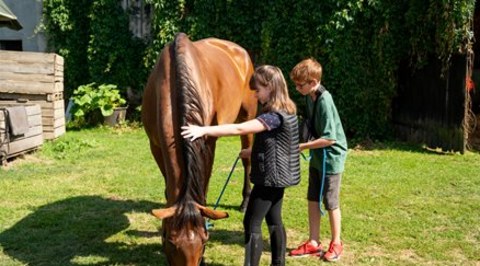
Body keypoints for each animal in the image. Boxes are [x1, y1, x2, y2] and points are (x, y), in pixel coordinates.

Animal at [141, 32, 256, 264]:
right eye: (170, 241)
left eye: (205, 240)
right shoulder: (155, 146)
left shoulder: (208, 143)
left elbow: (203, 185)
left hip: (247, 117)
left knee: (246, 158)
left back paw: (245, 201)